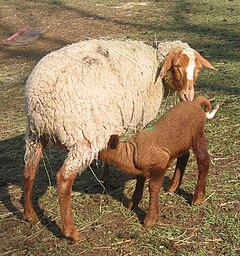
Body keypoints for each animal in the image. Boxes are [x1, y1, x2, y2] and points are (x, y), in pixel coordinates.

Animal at [98, 95, 218, 226]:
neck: (132, 153)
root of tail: (196, 103)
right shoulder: (141, 171)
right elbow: (139, 185)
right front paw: (132, 205)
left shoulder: (160, 163)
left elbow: (153, 188)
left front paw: (150, 219)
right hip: (181, 142)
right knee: (184, 156)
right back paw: (172, 187)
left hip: (197, 134)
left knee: (203, 161)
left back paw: (197, 198)